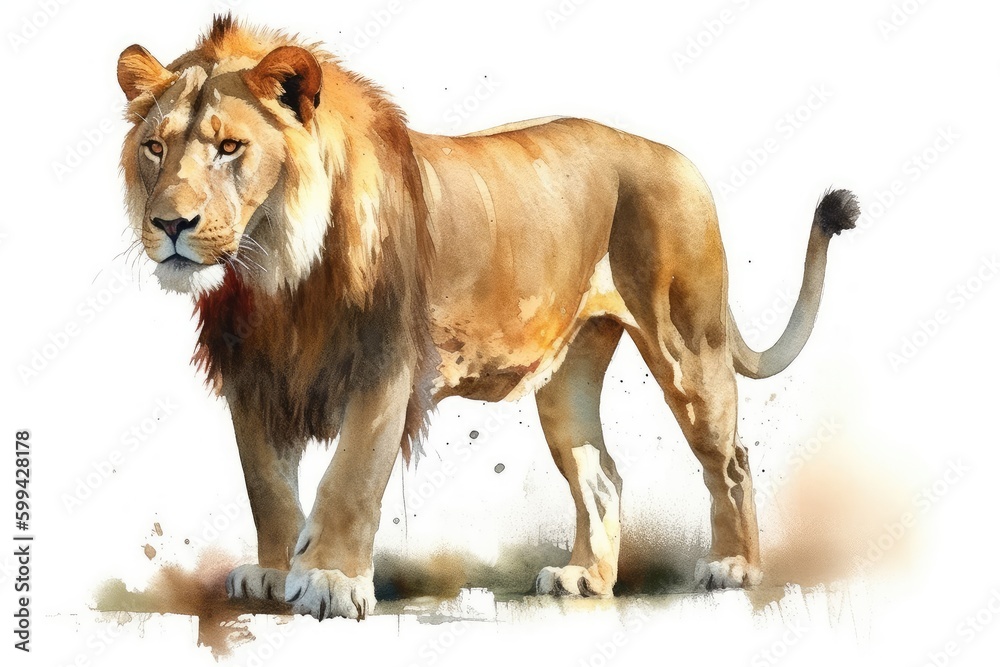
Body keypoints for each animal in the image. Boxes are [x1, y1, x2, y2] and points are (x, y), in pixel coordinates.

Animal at [117, 15, 858, 620]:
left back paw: (734, 567)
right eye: (155, 148)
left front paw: (328, 579)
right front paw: (273, 574)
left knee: (730, 458)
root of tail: (677, 157)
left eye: (230, 147)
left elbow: (350, 478)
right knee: (601, 473)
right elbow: (265, 484)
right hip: (568, 375)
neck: (273, 277)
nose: (171, 225)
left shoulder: (385, 367)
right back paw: (586, 578)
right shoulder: (252, 378)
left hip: (688, 347)